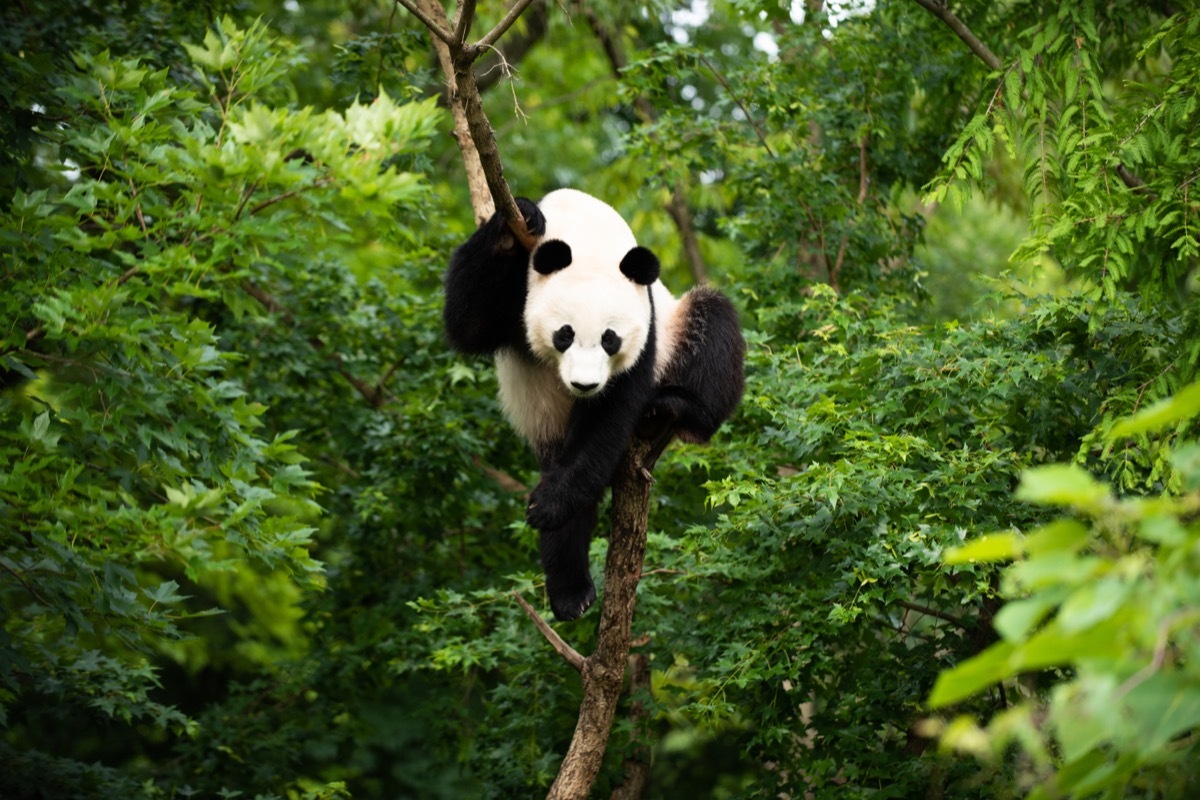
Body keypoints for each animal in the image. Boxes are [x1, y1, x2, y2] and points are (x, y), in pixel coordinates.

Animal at [444, 190, 739, 623]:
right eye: (564, 335)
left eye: (610, 339)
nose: (585, 385)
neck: (589, 238)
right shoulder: (520, 289)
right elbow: (468, 321)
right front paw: (517, 218)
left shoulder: (648, 323)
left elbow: (609, 415)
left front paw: (548, 505)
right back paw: (572, 593)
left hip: (678, 331)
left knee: (714, 322)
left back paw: (672, 411)